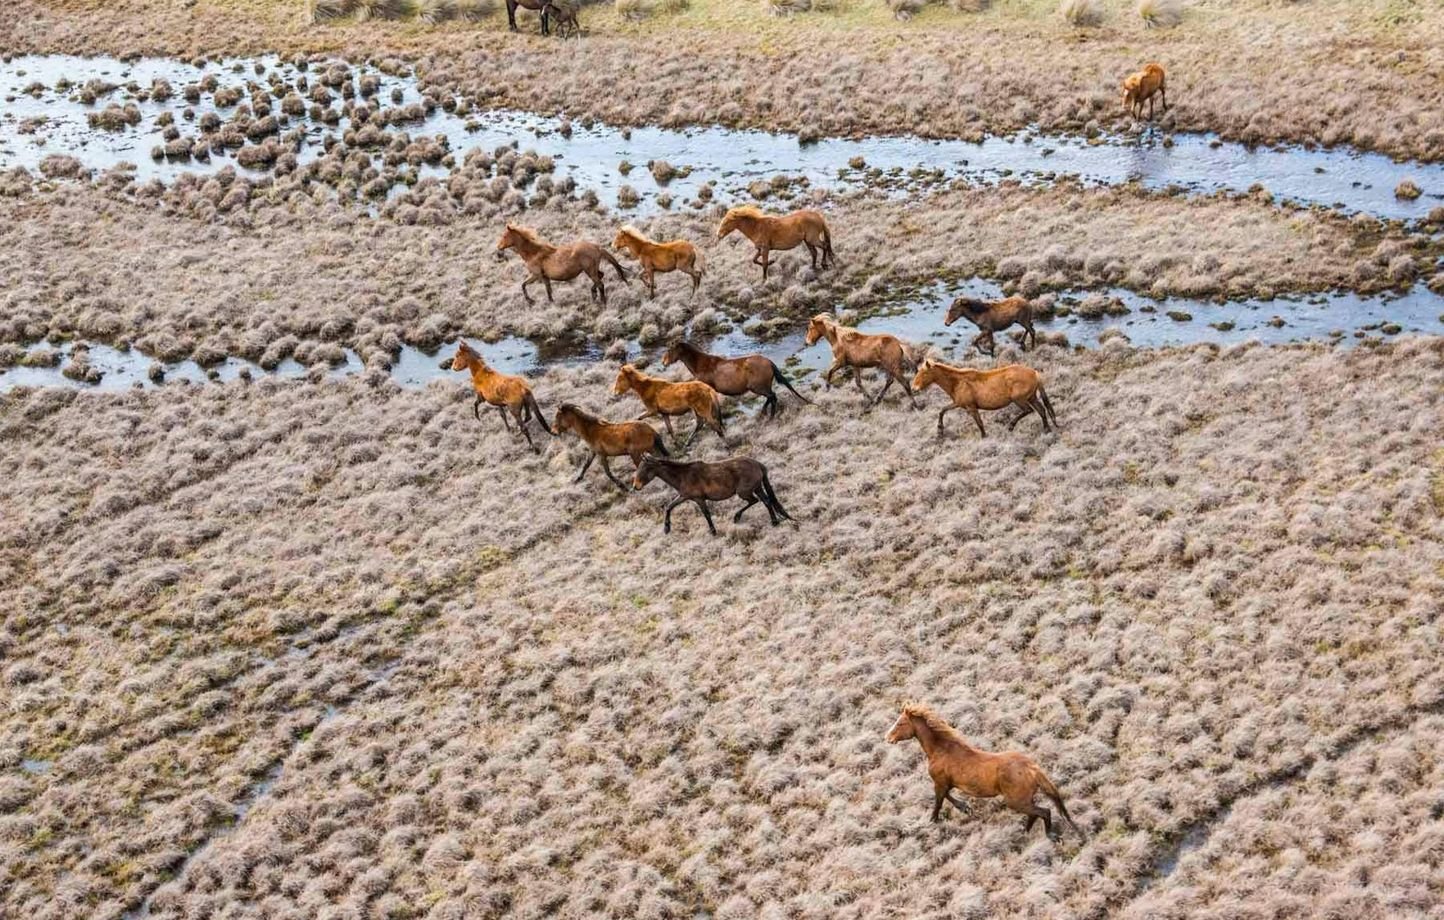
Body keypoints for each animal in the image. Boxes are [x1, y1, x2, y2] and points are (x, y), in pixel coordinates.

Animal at [496, 223, 629, 306]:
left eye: (505, 236)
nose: (498, 247)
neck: (533, 253)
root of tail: (597, 247)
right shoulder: (545, 277)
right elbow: (547, 290)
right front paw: (550, 302)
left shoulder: (536, 275)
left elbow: (524, 285)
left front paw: (531, 300)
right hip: (592, 270)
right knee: (601, 276)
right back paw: (594, 294)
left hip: (590, 270)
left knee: (600, 283)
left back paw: (602, 301)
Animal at [632, 454, 791, 536]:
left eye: (645, 469)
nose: (635, 486)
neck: (683, 475)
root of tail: (758, 464)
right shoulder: (684, 496)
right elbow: (669, 507)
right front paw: (666, 529)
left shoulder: (698, 499)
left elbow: (706, 513)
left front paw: (713, 531)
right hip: (757, 488)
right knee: (766, 501)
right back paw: (774, 522)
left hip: (744, 492)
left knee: (755, 501)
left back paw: (737, 517)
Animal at [662, 341, 811, 418]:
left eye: (670, 350)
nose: (664, 362)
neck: (701, 365)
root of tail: (768, 362)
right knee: (771, 397)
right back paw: (764, 413)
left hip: (757, 387)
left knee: (772, 396)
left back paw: (770, 416)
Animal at [886, 702, 1083, 839]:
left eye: (900, 723)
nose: (888, 738)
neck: (941, 750)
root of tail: (1033, 769)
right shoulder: (947, 783)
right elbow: (948, 796)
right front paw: (965, 807)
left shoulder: (940, 782)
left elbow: (939, 802)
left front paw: (933, 821)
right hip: (1024, 800)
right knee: (1035, 814)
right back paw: (1024, 832)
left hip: (1016, 801)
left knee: (1044, 812)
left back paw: (1050, 836)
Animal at [911, 359, 1057, 439]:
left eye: (924, 373)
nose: (914, 388)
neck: (957, 382)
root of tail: (1035, 373)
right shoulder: (958, 403)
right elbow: (942, 410)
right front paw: (940, 430)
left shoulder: (971, 407)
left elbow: (979, 422)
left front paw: (984, 436)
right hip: (1031, 397)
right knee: (1041, 410)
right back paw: (1047, 429)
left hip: (1019, 400)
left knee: (1029, 411)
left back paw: (1011, 426)